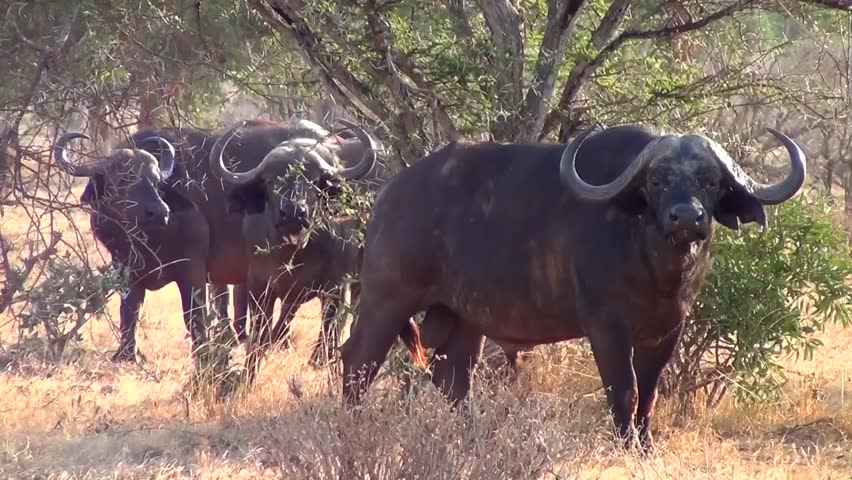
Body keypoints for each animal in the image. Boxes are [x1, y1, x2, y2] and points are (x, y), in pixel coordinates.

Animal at [341, 124, 806, 453]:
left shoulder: (668, 330)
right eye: (657, 180)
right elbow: (624, 388)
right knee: (359, 360)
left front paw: (645, 445)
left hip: (461, 316)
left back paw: (474, 437)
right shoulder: (606, 326)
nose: (687, 217)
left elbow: (649, 392)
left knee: (452, 377)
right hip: (387, 300)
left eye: (710, 181)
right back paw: (351, 426)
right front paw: (625, 444)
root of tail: (389, 194)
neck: (654, 264)